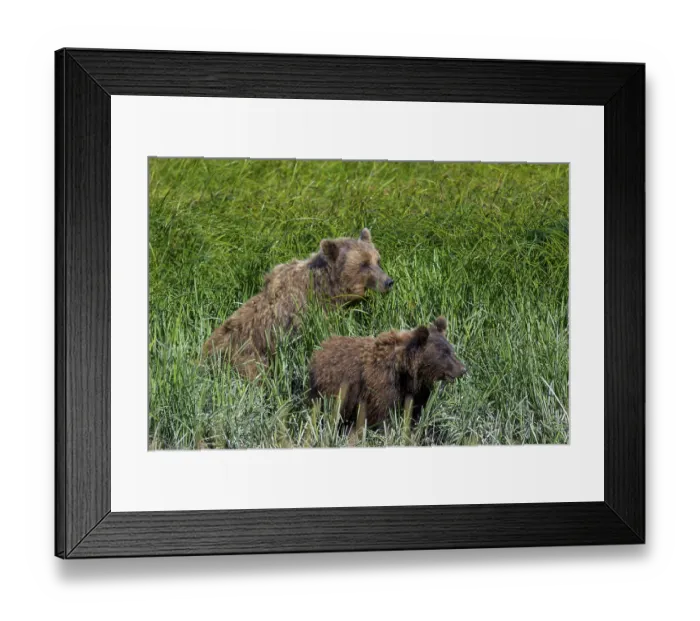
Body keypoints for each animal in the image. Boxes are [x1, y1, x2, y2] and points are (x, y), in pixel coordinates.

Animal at [202, 228, 393, 379]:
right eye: (364, 264)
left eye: (377, 260)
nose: (388, 282)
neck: (326, 289)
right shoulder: (304, 315)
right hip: (245, 355)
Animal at [309, 317, 467, 428]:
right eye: (444, 353)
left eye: (451, 350)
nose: (463, 369)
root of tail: (320, 349)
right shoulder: (381, 387)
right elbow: (382, 417)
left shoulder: (415, 390)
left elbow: (416, 412)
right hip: (331, 393)